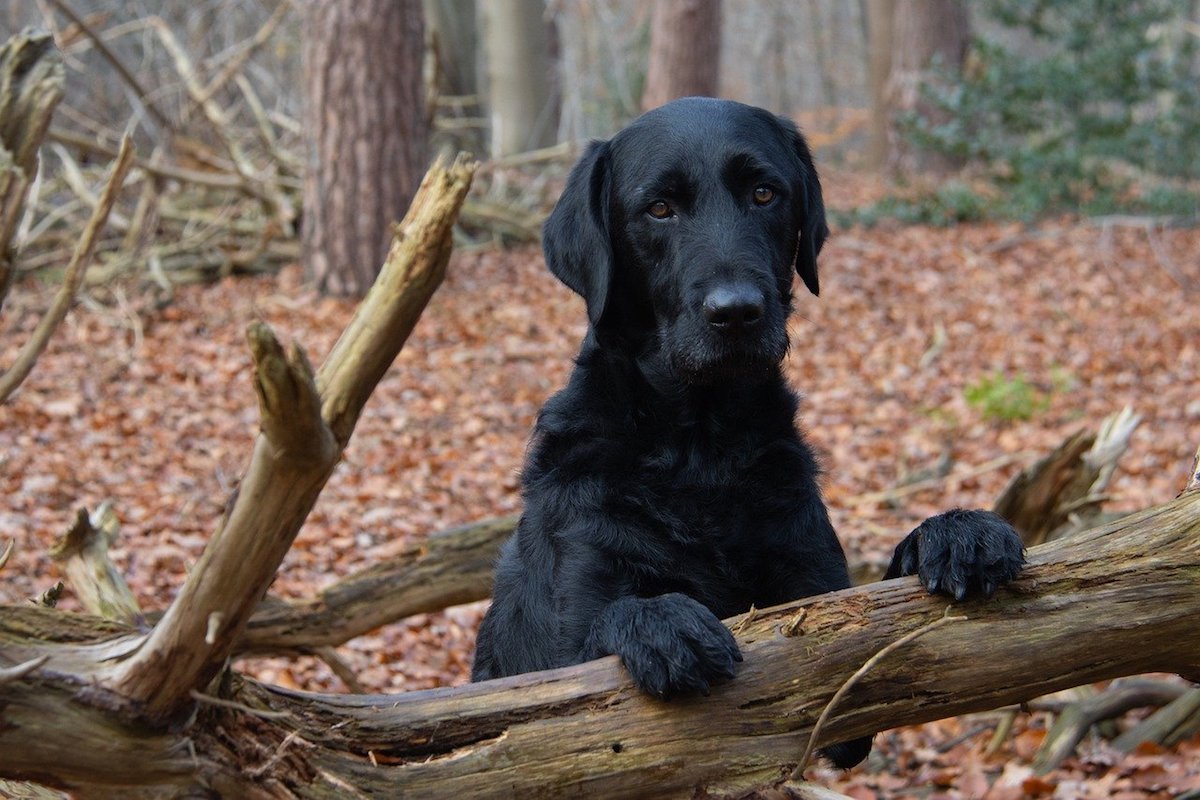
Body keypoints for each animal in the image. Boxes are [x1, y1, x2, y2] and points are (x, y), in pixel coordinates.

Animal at [468, 100, 1022, 767]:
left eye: (764, 193)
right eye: (659, 208)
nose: (736, 312)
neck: (702, 448)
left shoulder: (817, 599)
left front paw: (956, 532)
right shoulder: (563, 650)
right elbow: (597, 641)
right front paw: (660, 621)